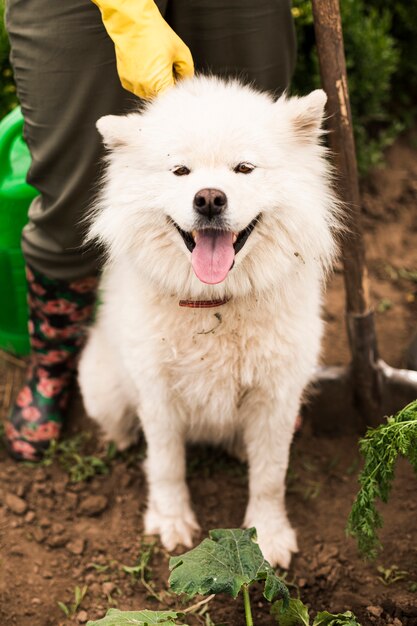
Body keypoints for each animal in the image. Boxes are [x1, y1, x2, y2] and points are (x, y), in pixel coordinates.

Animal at [78, 75, 338, 568]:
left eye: (244, 168)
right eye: (180, 171)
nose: (210, 198)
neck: (214, 302)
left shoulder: (276, 398)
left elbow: (270, 477)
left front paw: (268, 537)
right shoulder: (158, 393)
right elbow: (166, 465)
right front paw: (171, 522)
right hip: (104, 389)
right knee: (121, 425)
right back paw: (118, 441)